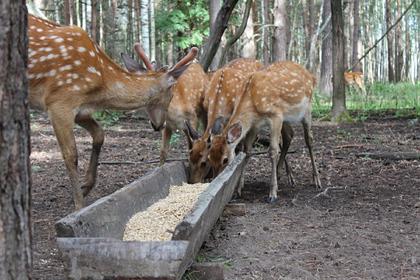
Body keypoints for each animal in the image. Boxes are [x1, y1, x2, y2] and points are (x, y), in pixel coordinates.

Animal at [28, 14, 199, 209]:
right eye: (171, 94)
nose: (158, 125)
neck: (100, 87)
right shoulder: (59, 101)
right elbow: (71, 155)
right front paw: (79, 204)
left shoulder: (81, 110)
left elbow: (100, 134)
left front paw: (86, 186)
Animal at [208, 60, 322, 202]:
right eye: (209, 157)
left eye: (225, 159)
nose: (214, 179)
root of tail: (312, 77)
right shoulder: (254, 126)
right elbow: (247, 152)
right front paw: (238, 190)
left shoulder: (276, 116)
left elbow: (272, 151)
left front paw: (272, 194)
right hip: (287, 118)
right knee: (289, 136)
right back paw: (279, 174)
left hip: (307, 110)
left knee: (309, 140)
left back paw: (317, 180)